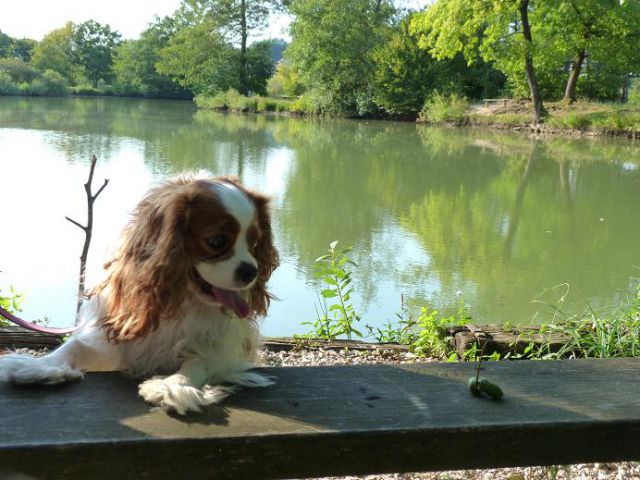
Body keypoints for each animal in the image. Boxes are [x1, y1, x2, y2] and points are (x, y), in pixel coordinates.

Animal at [0, 174, 280, 414]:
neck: (181, 297)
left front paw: (173, 385)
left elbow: (200, 361)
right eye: (217, 241)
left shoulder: (223, 347)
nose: (251, 271)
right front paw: (38, 366)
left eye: (255, 243)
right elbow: (74, 346)